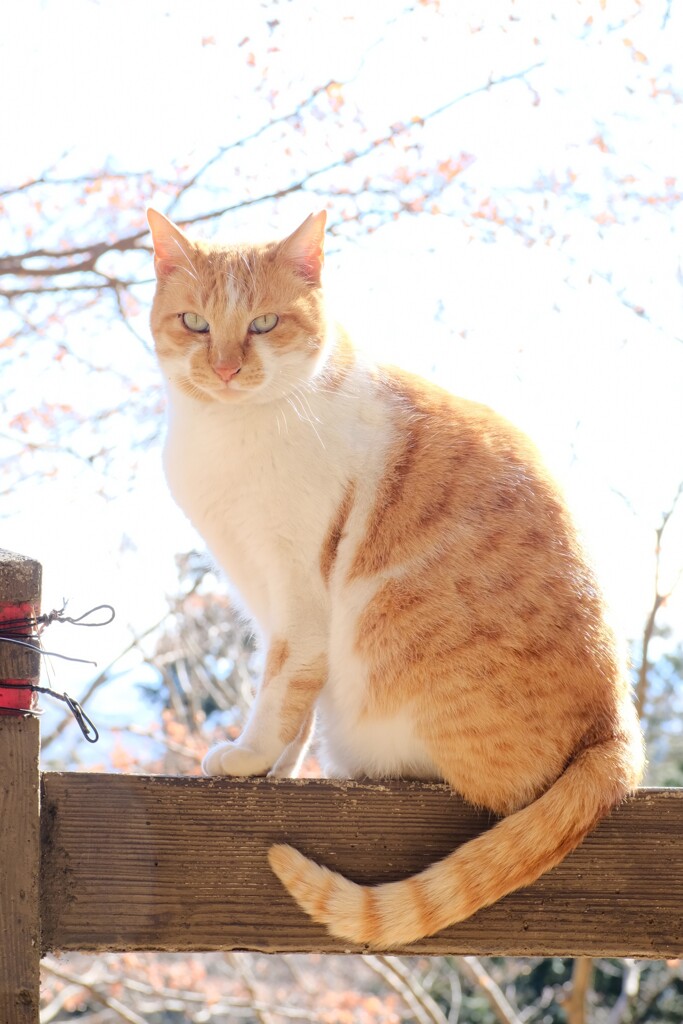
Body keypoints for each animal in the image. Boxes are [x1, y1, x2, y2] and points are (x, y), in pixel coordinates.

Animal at [147, 203, 643, 946]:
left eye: (262, 324)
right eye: (195, 323)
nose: (227, 367)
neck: (229, 431)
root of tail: (616, 729)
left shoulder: (299, 595)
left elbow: (281, 687)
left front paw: (247, 755)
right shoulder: (264, 597)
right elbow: (293, 702)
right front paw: (277, 770)